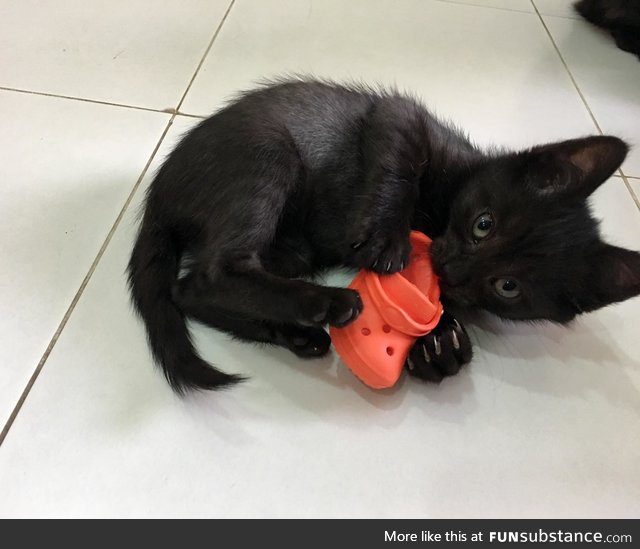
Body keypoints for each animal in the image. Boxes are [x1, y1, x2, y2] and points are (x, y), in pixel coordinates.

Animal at [126, 79, 640, 392]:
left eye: (508, 287)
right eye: (484, 223)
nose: (452, 267)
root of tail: (159, 192)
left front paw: (439, 346)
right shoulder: (400, 116)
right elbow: (400, 160)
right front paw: (388, 240)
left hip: (292, 251)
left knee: (189, 288)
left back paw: (295, 332)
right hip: (267, 154)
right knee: (215, 272)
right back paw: (328, 302)